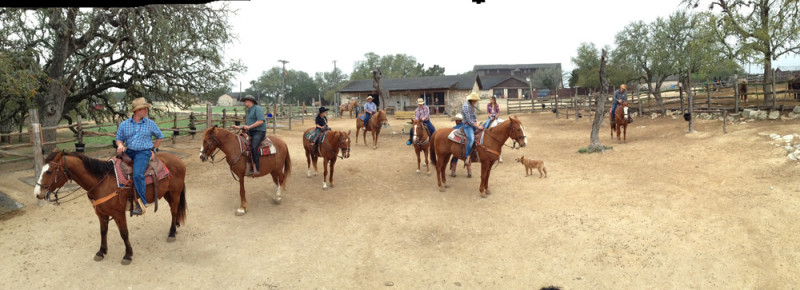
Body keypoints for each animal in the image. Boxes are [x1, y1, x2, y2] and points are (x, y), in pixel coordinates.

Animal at [33, 150, 188, 266]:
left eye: (49, 171)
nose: (37, 193)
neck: (101, 182)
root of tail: (178, 160)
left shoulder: (119, 214)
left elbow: (124, 233)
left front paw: (128, 255)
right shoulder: (101, 213)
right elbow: (103, 232)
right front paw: (101, 252)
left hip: (174, 193)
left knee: (174, 211)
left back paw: (172, 233)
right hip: (167, 193)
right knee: (174, 211)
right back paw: (176, 226)